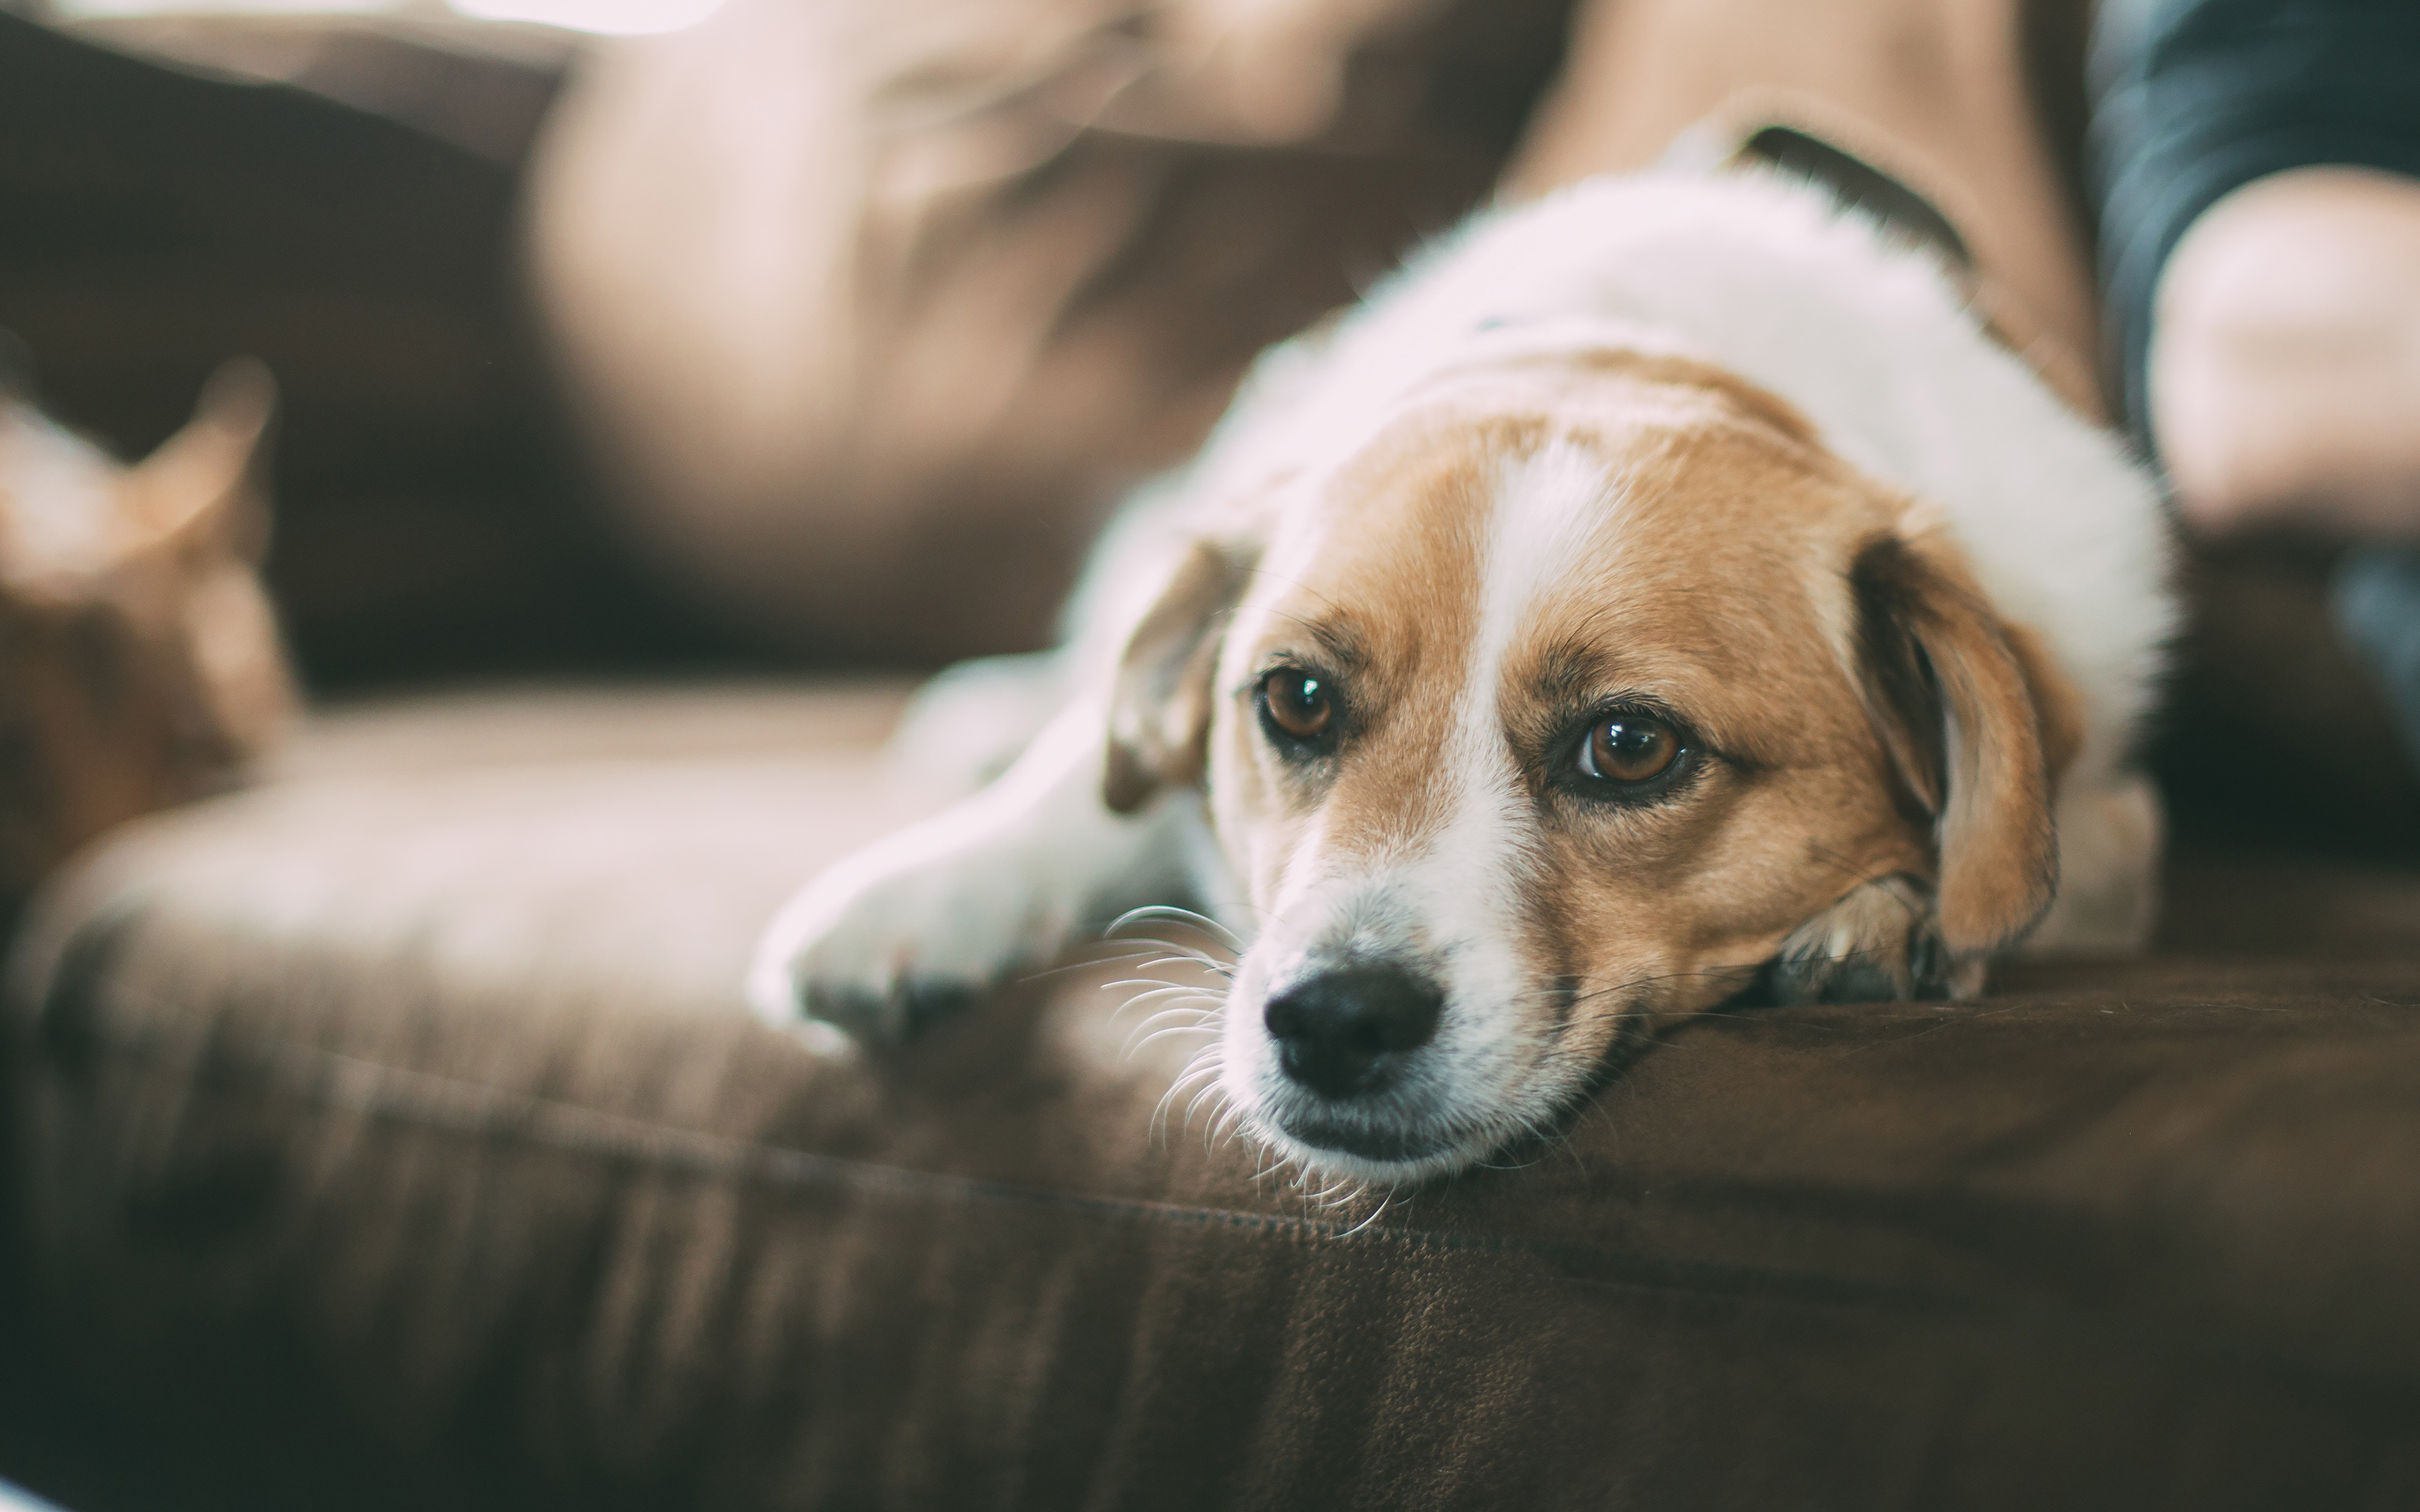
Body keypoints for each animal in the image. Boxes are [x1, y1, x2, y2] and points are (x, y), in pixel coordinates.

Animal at [750, 164, 2178, 1180]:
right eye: (1296, 700)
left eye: (1631, 746)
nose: (1332, 1021)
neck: (1638, 349)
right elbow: (1084, 784)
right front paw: (926, 892)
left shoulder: (2111, 808)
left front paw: (1894, 916)